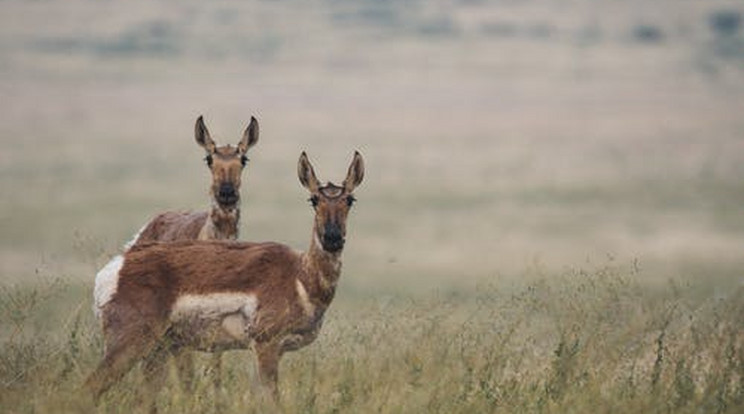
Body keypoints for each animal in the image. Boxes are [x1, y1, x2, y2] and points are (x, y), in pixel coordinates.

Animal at [85, 150, 364, 404]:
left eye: (350, 199)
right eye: (313, 199)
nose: (332, 238)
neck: (300, 275)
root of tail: (118, 265)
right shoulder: (266, 345)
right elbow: (271, 401)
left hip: (158, 351)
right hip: (130, 344)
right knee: (89, 388)